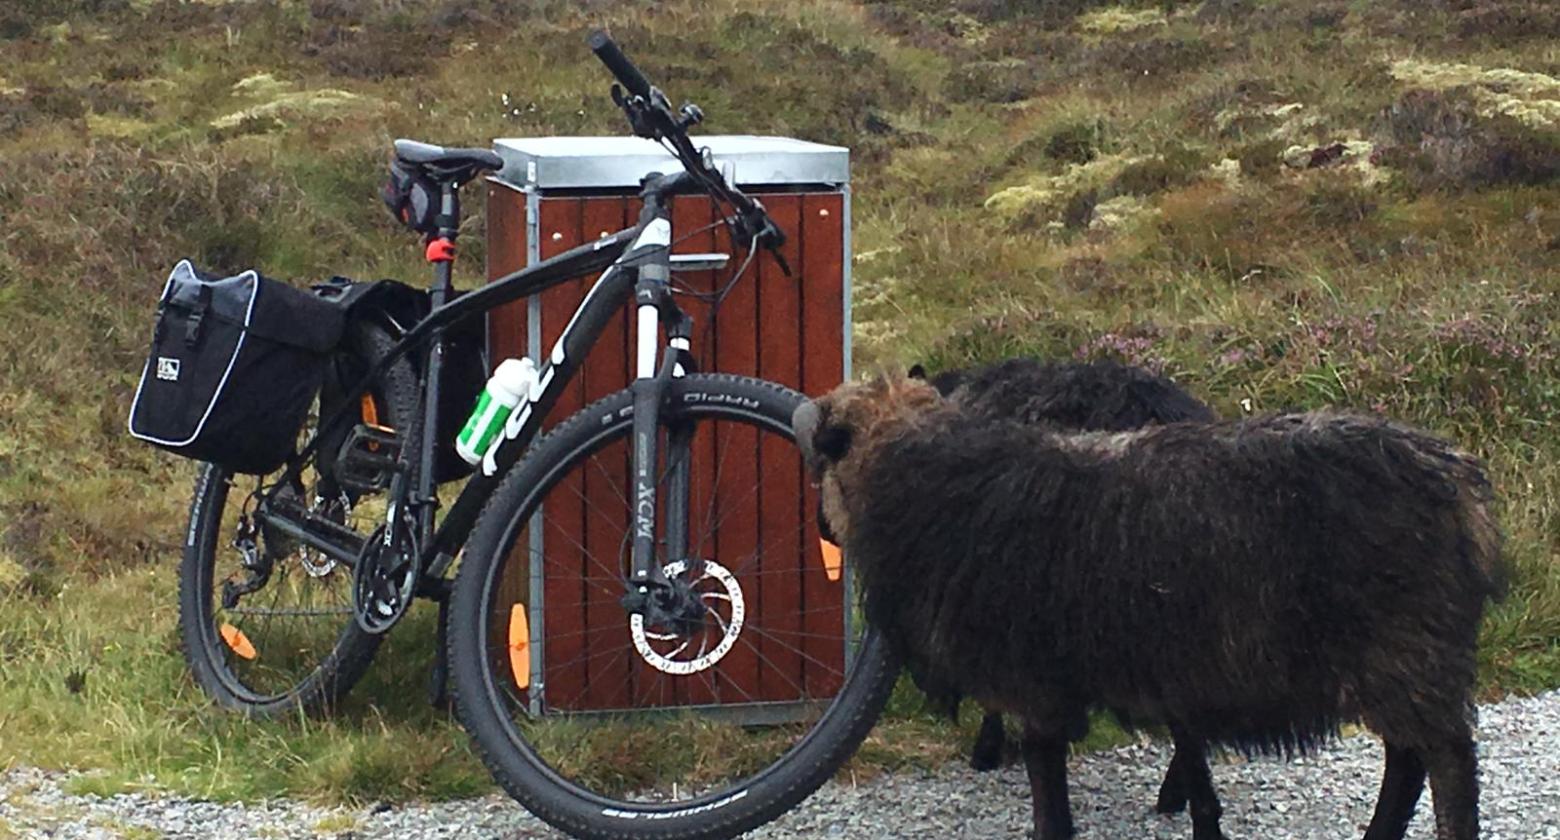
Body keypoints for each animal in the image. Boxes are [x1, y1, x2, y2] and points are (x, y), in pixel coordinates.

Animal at [794, 374, 1504, 840]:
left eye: (817, 463)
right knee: (1408, 761)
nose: (821, 536)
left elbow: (1048, 793)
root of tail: (1459, 480)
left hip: (1406, 649)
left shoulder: (1034, 684)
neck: (929, 479)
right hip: (1401, 660)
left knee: (1445, 763)